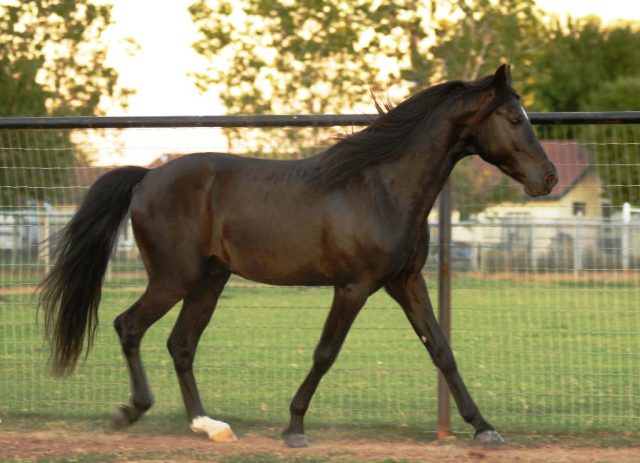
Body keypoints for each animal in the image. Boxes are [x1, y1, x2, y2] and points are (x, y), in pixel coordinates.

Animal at [40, 64, 556, 446]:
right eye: (514, 118)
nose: (548, 178)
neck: (380, 187)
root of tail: (146, 177)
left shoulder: (406, 281)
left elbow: (442, 350)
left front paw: (484, 428)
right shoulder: (354, 288)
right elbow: (326, 352)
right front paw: (294, 427)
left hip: (210, 280)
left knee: (181, 344)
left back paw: (209, 427)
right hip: (173, 279)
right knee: (129, 326)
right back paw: (131, 411)